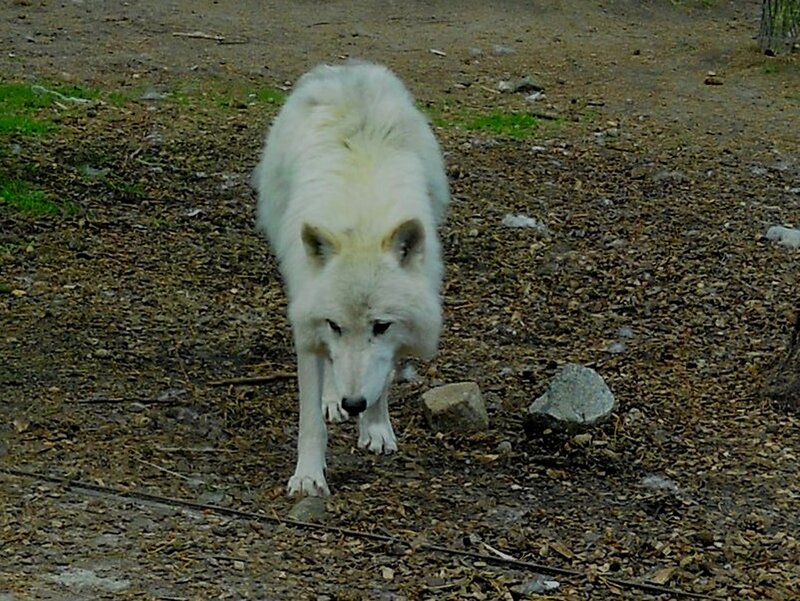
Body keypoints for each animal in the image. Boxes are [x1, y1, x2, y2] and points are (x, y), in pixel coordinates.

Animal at [252, 61, 450, 496]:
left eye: (381, 326)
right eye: (335, 325)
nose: (353, 403)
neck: (362, 225)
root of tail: (343, 69)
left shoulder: (394, 333)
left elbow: (384, 373)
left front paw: (374, 426)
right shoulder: (310, 327)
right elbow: (310, 420)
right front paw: (308, 476)